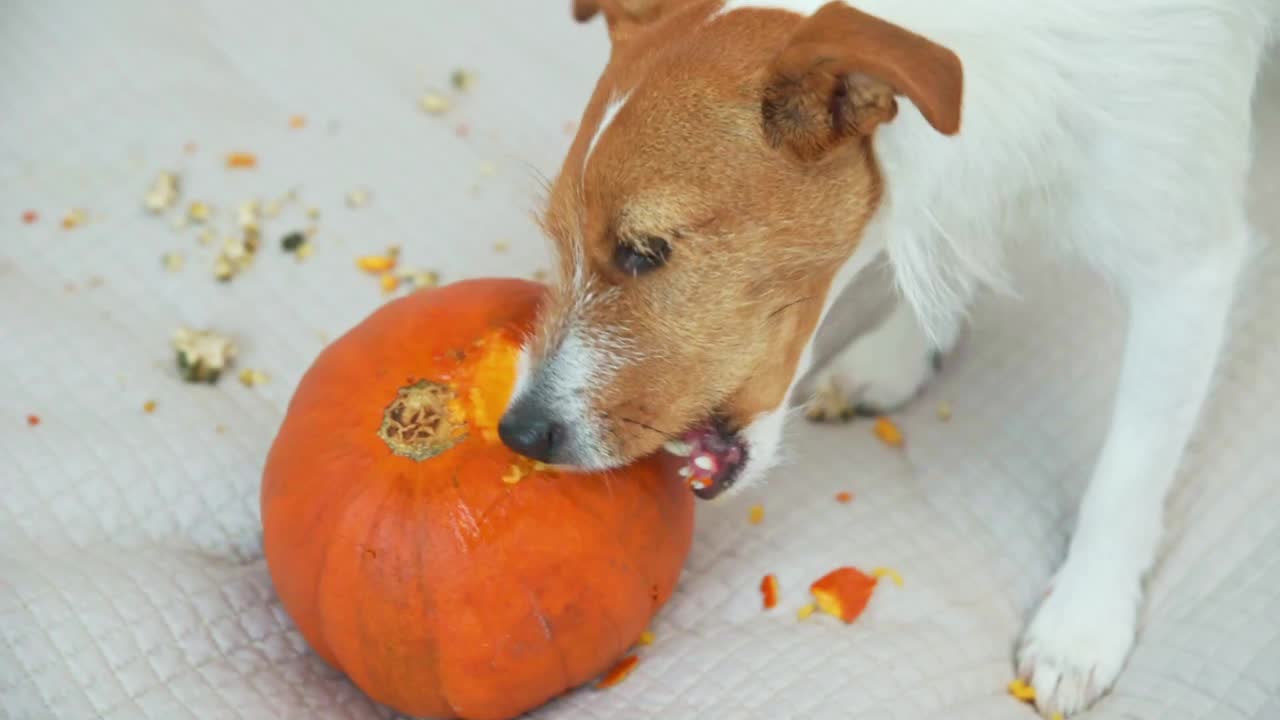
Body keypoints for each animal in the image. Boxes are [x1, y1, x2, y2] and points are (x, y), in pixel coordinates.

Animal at [494, 2, 1274, 712]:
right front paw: (904, 350)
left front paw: (1082, 623)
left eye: (644, 250)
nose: (517, 433)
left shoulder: (1188, 270)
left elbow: (1129, 471)